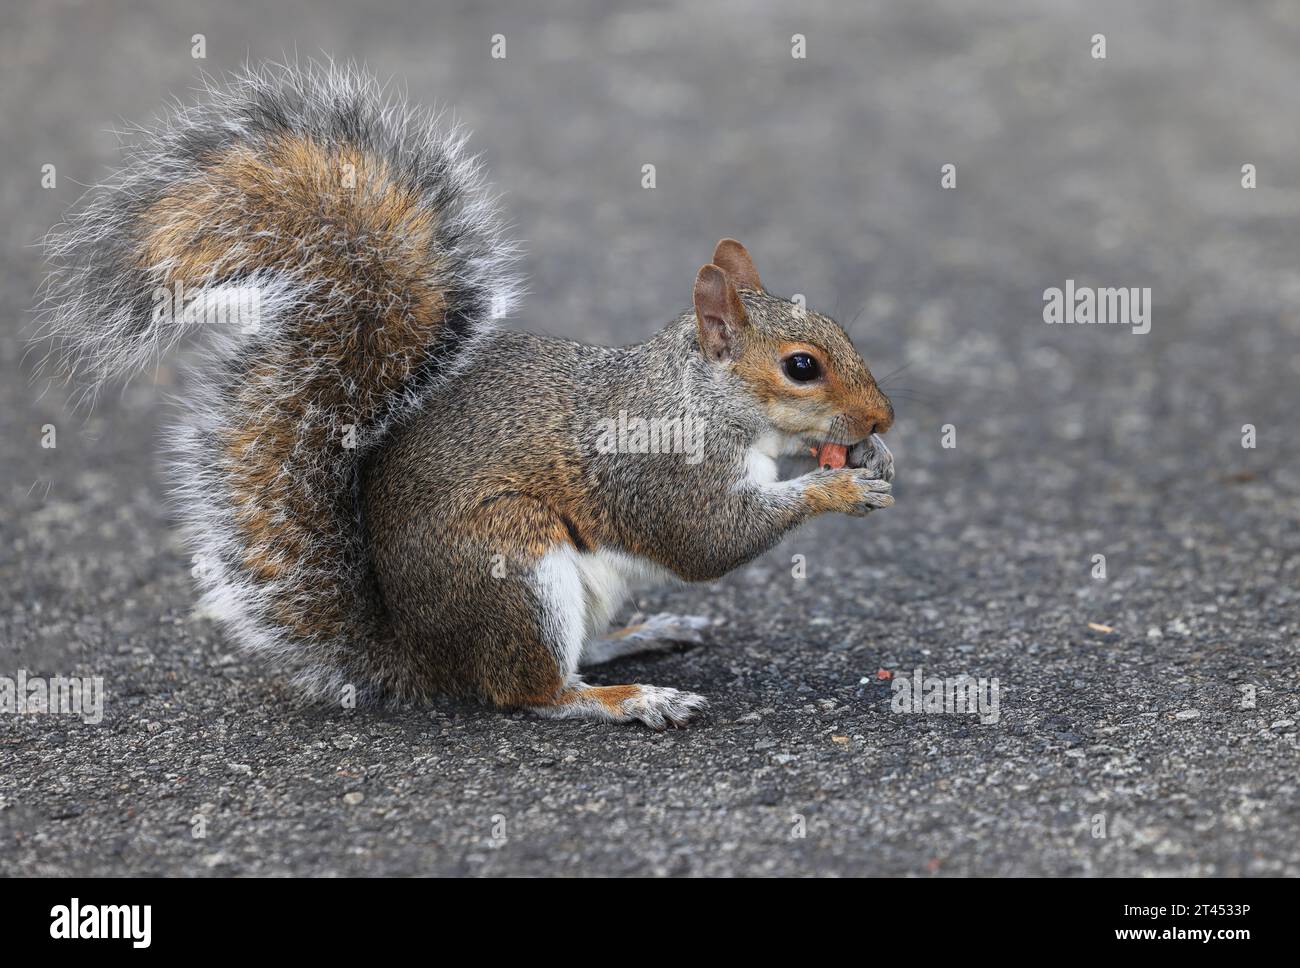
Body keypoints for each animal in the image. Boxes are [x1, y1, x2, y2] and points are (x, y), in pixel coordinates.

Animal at [38, 63, 896, 729]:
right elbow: (709, 540)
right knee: (531, 692)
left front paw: (872, 457)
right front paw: (839, 487)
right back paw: (629, 698)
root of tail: (419, 654)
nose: (884, 415)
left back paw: (637, 638)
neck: (702, 399)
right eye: (801, 366)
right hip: (511, 560)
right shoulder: (658, 471)